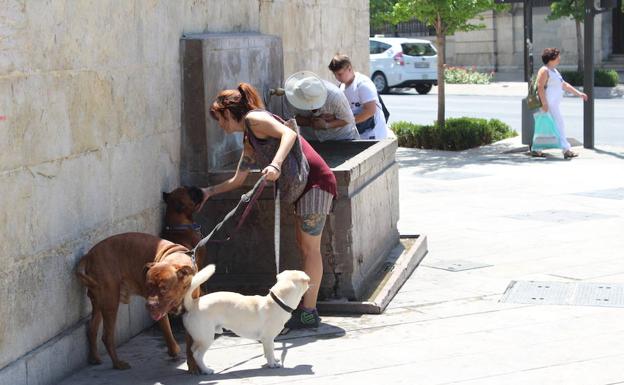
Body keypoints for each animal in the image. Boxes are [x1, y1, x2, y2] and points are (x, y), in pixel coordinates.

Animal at [77, 231, 196, 368]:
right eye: (148, 286)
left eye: (164, 289)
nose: (149, 305)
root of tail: (89, 256)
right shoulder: (160, 312)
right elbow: (167, 331)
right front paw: (174, 351)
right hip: (111, 301)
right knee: (107, 336)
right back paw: (118, 364)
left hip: (99, 302)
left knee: (92, 329)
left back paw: (95, 358)